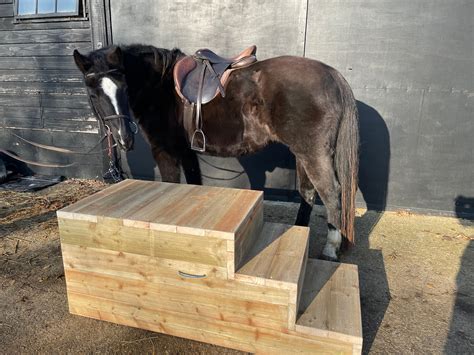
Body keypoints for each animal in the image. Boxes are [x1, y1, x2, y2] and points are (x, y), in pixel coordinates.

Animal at [72, 44, 358, 262]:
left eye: (123, 87)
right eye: (93, 93)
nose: (124, 139)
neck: (160, 86)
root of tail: (332, 74)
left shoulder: (165, 152)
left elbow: (172, 185)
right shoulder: (186, 152)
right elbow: (193, 185)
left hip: (313, 153)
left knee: (331, 193)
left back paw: (330, 249)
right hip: (302, 154)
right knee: (308, 192)